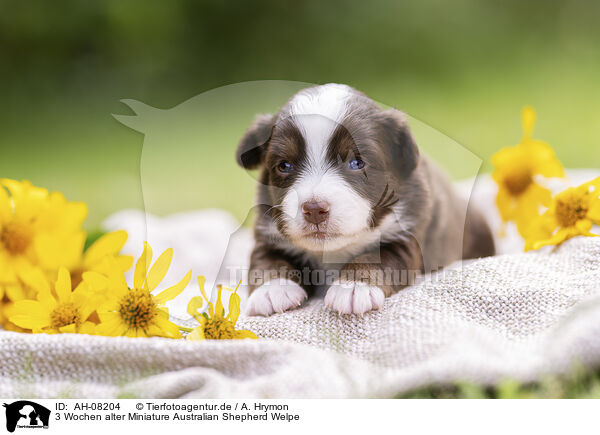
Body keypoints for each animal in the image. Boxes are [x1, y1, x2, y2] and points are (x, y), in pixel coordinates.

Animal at [237, 83, 494, 316]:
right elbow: (265, 259)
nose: (314, 209)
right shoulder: (268, 233)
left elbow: (376, 258)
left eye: (356, 162)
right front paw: (272, 290)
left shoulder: (406, 235)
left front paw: (353, 287)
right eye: (284, 166)